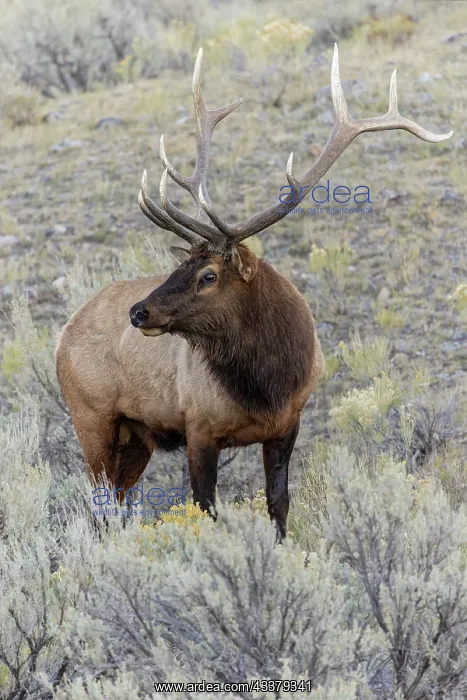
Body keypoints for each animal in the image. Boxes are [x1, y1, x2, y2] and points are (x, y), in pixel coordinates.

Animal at [55, 45, 452, 540]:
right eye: (179, 266)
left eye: (208, 275)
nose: (139, 312)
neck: (267, 382)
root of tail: (62, 337)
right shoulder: (199, 428)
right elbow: (206, 509)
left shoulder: (288, 424)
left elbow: (278, 502)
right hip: (91, 419)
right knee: (100, 508)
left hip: (135, 437)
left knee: (111, 507)